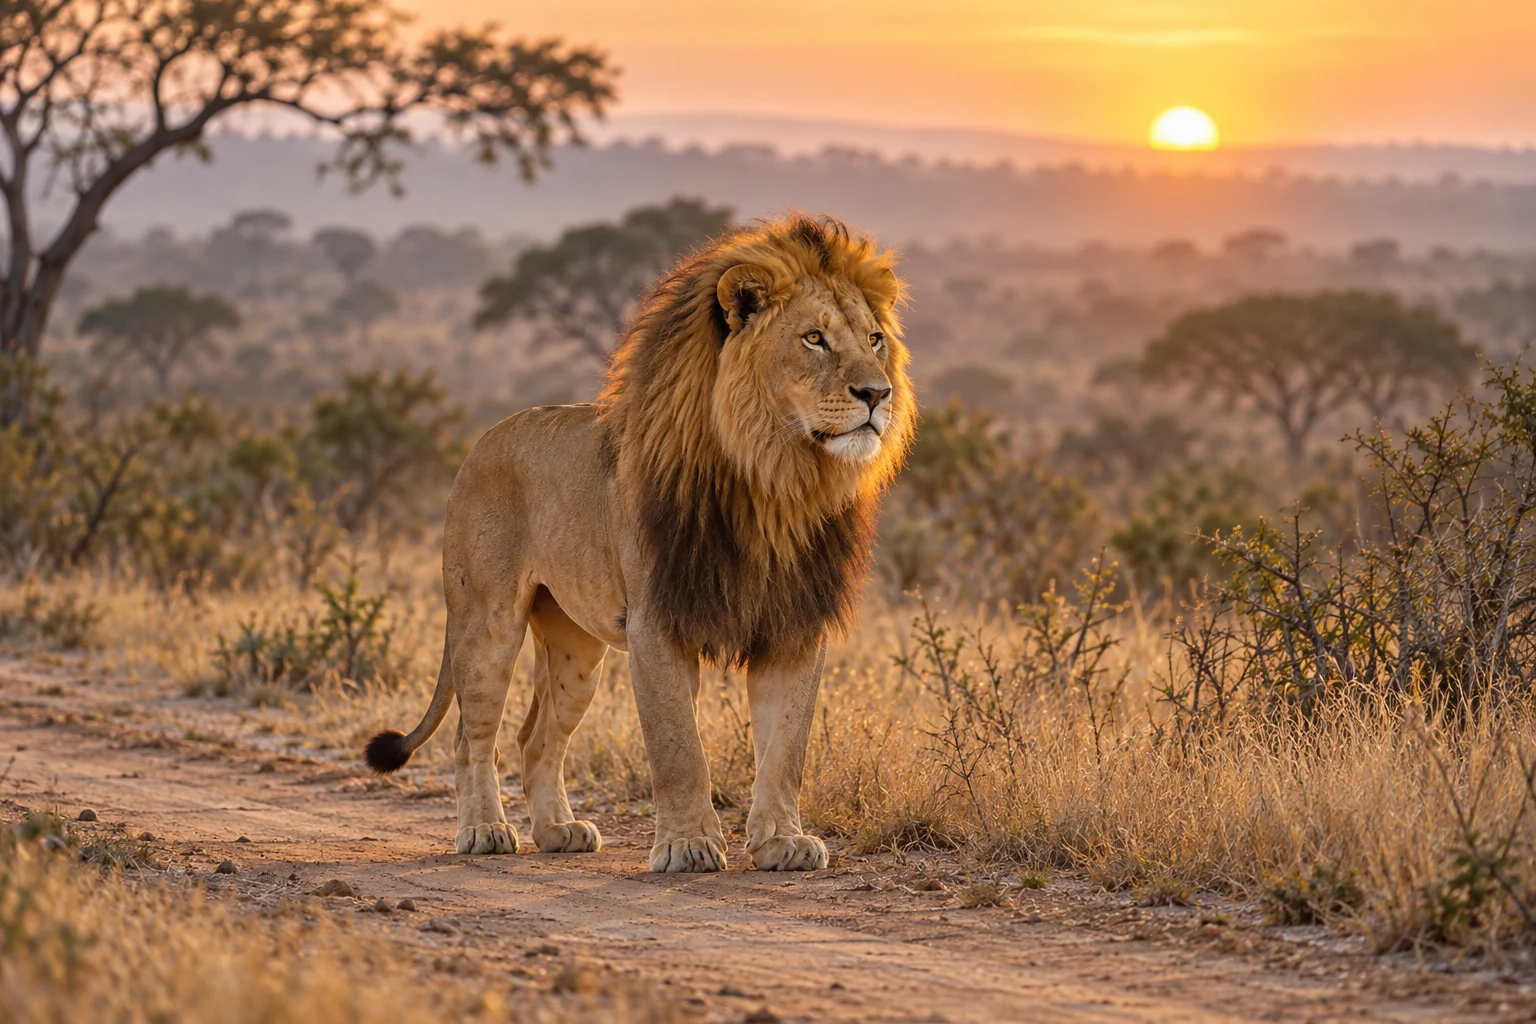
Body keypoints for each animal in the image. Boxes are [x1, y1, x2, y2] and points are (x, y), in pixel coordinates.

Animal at [363, 214, 915, 872]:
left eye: (875, 339)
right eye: (814, 339)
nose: (877, 394)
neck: (775, 481)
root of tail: (482, 441)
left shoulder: (793, 623)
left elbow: (787, 748)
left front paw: (782, 840)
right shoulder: (658, 621)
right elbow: (679, 746)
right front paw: (687, 845)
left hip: (576, 649)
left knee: (535, 737)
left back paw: (559, 829)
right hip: (486, 621)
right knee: (472, 734)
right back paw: (484, 831)